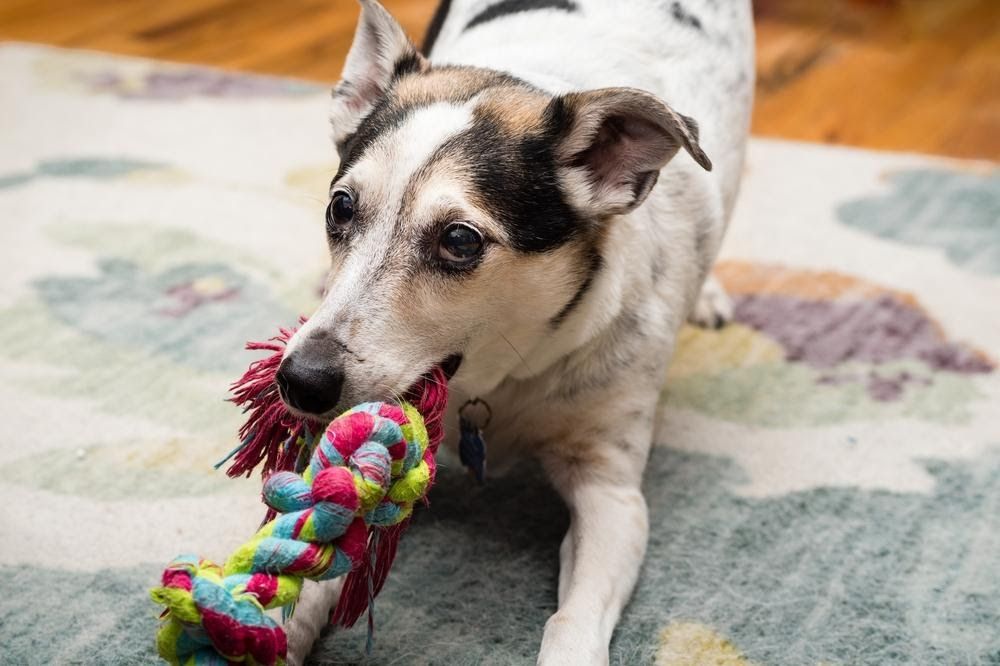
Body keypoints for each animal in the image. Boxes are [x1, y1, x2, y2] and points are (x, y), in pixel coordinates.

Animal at [276, 0, 752, 660]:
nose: (300, 381)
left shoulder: (612, 494)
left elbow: (573, 620)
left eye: (459, 240)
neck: (496, 379)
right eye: (340, 207)